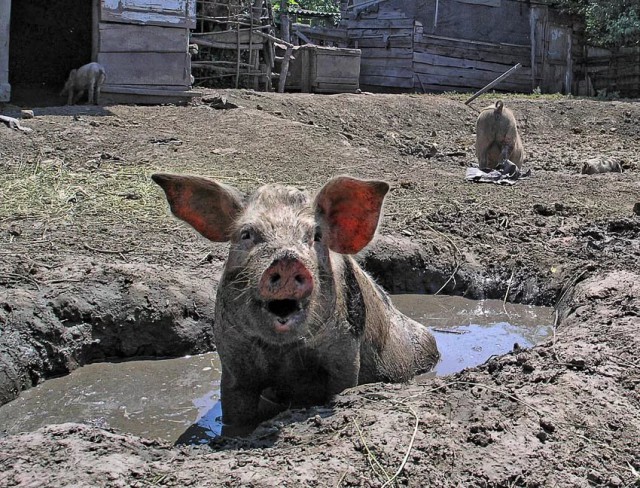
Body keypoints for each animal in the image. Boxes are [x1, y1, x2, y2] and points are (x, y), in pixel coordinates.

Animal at [154, 174, 440, 434]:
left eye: (315, 236)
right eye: (246, 234)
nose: (287, 260)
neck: (283, 353)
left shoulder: (346, 350)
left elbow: (343, 387)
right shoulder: (233, 357)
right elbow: (235, 411)